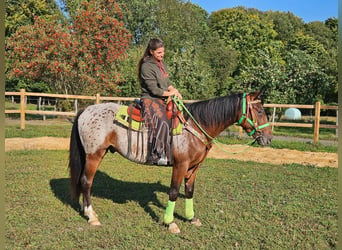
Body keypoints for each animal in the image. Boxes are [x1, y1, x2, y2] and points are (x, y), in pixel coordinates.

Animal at [69, 91, 272, 233]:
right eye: (259, 110)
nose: (268, 138)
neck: (196, 125)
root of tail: (86, 111)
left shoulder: (194, 167)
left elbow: (189, 191)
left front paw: (191, 218)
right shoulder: (180, 165)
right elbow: (174, 192)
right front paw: (170, 222)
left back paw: (85, 210)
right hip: (94, 155)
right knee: (86, 181)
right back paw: (92, 216)